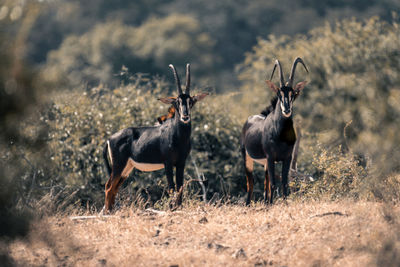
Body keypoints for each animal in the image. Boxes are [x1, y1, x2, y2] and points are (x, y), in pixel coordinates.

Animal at [103, 63, 208, 213]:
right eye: (176, 102)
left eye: (191, 101)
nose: (185, 116)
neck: (178, 137)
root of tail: (110, 139)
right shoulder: (168, 163)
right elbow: (171, 188)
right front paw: (172, 209)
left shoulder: (181, 163)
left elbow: (180, 188)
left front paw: (179, 208)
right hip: (119, 165)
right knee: (109, 187)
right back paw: (108, 213)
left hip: (126, 168)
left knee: (113, 188)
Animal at [241, 57, 310, 205]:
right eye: (279, 93)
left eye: (293, 94)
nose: (286, 109)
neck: (280, 135)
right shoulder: (271, 157)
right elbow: (273, 184)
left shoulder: (287, 158)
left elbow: (283, 183)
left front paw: (284, 203)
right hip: (248, 158)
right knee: (251, 184)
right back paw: (250, 204)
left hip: (266, 164)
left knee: (265, 183)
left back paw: (266, 203)